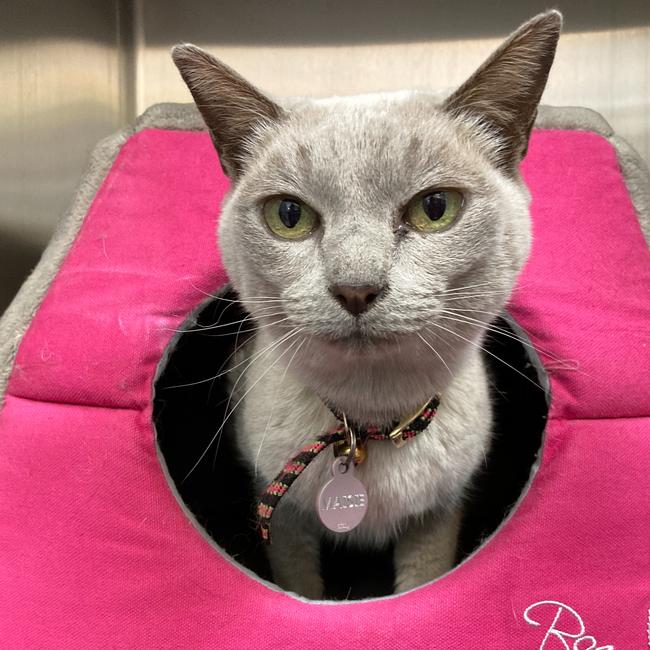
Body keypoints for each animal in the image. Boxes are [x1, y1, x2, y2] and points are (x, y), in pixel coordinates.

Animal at [171, 10, 556, 596]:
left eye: (435, 208)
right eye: (289, 216)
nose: (356, 288)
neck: (369, 421)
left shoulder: (438, 516)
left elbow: (422, 581)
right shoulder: (286, 521)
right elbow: (301, 585)